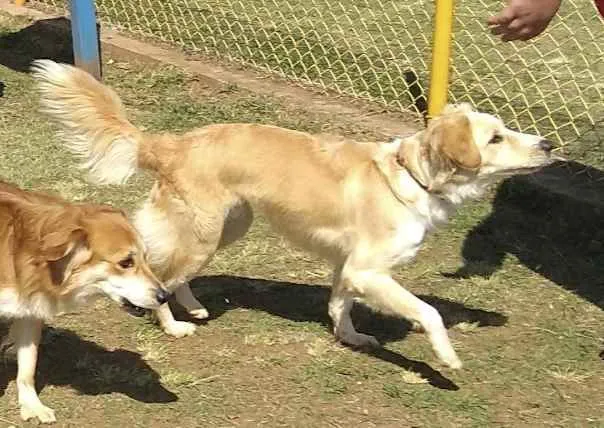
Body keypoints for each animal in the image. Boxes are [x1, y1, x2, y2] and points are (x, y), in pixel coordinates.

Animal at [0, 180, 170, 422]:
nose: (165, 296)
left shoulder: (29, 311)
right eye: (126, 262)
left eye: (146, 258)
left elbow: (28, 367)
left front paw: (32, 405)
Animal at [34, 60, 556, 372]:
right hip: (203, 233)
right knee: (161, 277)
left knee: (176, 274)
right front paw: (447, 358)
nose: (548, 144)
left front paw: (350, 337)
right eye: (495, 138)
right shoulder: (370, 270)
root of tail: (169, 143)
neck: (412, 176)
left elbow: (339, 305)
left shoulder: (348, 266)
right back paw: (173, 324)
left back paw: (194, 306)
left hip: (231, 226)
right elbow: (429, 311)